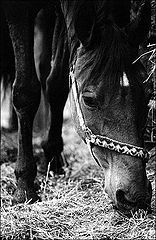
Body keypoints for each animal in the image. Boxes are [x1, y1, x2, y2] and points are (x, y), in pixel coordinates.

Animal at [1, 0, 152, 214]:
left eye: (148, 94)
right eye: (88, 99)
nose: (135, 195)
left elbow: (57, 85)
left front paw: (53, 158)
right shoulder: (17, 11)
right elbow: (25, 92)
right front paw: (24, 187)